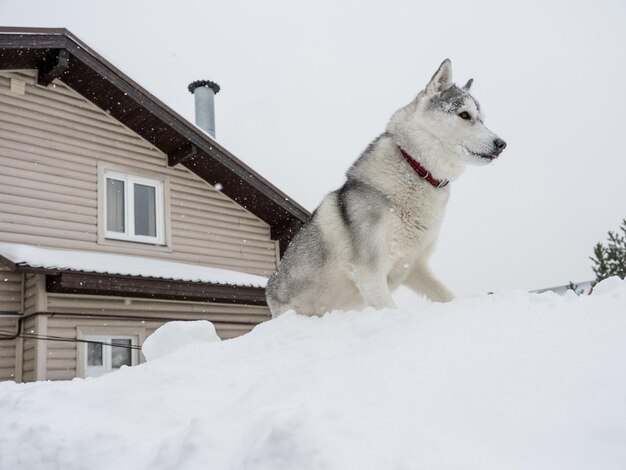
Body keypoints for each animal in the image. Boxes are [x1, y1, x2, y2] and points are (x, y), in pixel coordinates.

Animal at [266, 58, 504, 316]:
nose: (502, 144)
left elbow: (447, 295)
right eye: (464, 115)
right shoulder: (369, 273)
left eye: (482, 119)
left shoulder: (414, 266)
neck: (416, 169)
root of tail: (269, 288)